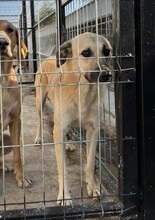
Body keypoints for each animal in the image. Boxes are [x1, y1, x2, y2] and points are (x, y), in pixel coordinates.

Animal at [35, 32, 112, 205]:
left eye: (107, 51)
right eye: (86, 53)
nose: (107, 74)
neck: (82, 92)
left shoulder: (93, 131)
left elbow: (90, 163)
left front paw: (93, 187)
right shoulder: (59, 130)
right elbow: (63, 170)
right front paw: (65, 195)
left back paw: (68, 143)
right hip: (39, 100)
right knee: (39, 121)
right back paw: (38, 138)